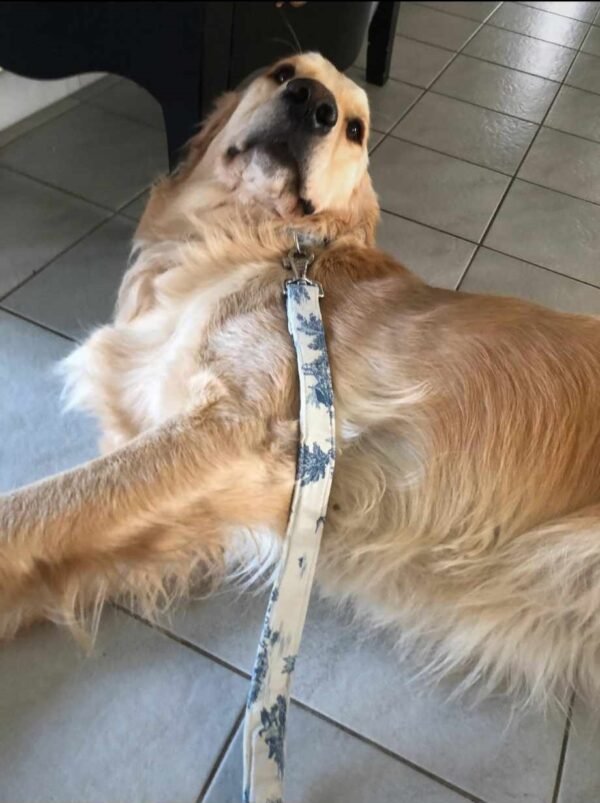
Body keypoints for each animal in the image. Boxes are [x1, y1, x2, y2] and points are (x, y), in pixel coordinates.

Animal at [3, 53, 600, 708]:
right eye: (284, 71)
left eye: (356, 129)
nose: (313, 101)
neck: (258, 241)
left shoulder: (242, 435)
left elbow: (36, 508)